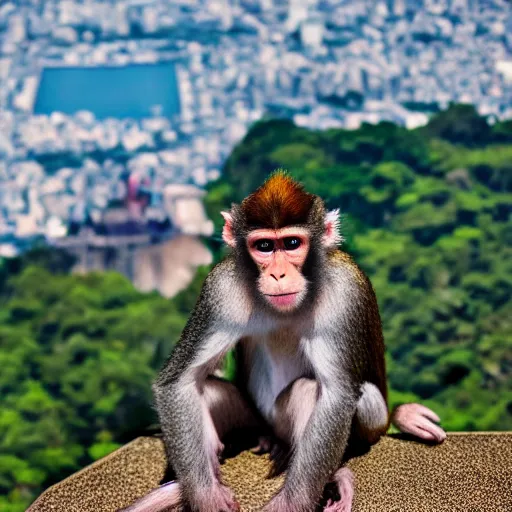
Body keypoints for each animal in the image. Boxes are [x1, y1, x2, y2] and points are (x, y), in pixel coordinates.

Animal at [126, 172, 446, 512]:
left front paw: (292, 503)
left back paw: (335, 474)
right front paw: (205, 495)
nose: (278, 274)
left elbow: (336, 394)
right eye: (264, 246)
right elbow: (179, 380)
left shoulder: (343, 291)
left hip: (370, 421)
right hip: (254, 418)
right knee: (206, 390)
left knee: (313, 391)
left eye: (292, 243)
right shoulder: (220, 288)